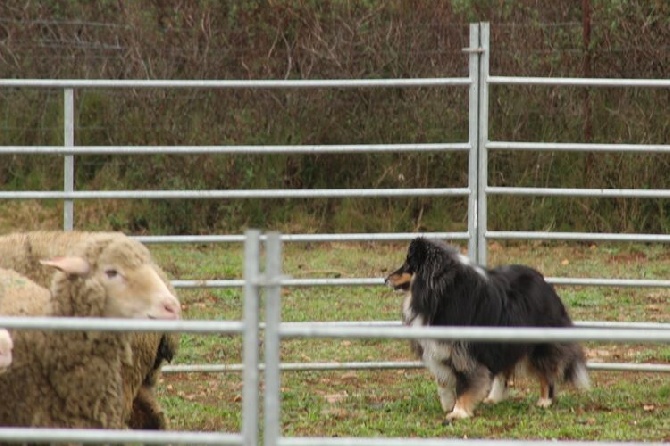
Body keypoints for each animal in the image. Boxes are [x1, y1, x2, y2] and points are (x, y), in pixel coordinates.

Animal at [386, 237, 592, 422]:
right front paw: (449, 405)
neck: (440, 292)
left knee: (546, 369)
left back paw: (545, 400)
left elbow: (466, 383)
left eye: (408, 264)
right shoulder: (440, 350)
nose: (386, 279)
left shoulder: (464, 354)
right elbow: (443, 382)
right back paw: (494, 398)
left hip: (540, 343)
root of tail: (546, 284)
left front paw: (459, 412)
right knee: (505, 371)